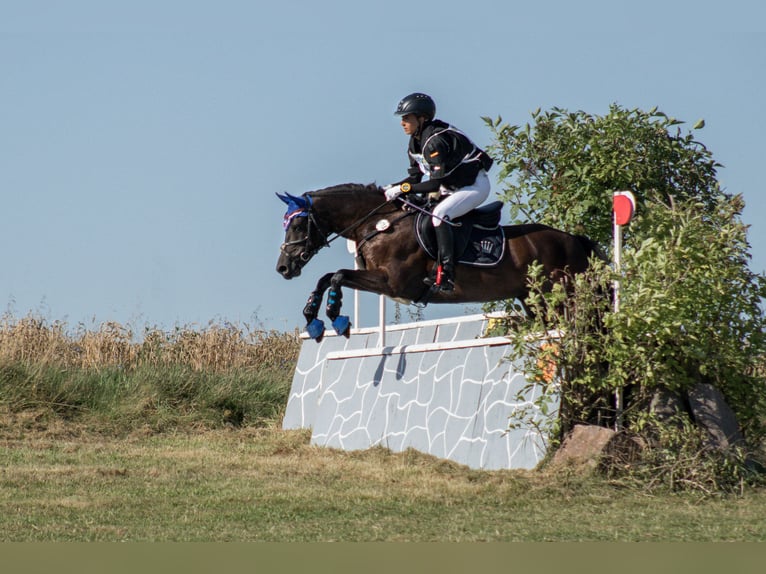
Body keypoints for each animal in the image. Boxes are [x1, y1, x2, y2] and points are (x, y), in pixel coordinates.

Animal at [278, 182, 608, 340]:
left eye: (298, 224)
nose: (283, 267)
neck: (380, 224)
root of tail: (574, 239)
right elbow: (327, 277)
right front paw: (313, 319)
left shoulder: (391, 282)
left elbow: (337, 275)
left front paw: (336, 316)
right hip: (534, 301)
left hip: (562, 297)